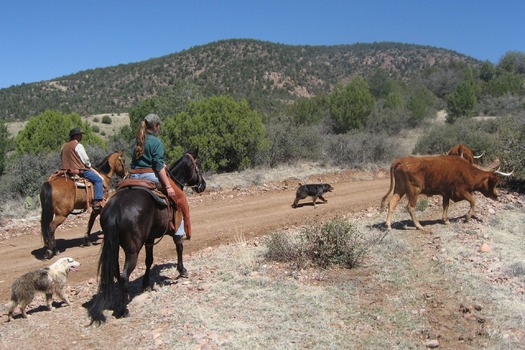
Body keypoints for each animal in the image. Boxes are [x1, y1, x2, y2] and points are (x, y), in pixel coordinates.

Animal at [88, 150, 205, 322]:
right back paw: (123, 309)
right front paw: (182, 270)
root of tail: (115, 208)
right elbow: (179, 246)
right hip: (132, 250)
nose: (203, 185)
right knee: (124, 275)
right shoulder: (176, 230)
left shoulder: (149, 239)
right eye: (198, 166)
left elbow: (149, 260)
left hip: (114, 246)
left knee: (116, 272)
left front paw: (146, 283)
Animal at [378, 155, 510, 231]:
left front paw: (445, 220)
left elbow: (445, 206)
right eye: (494, 182)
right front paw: (467, 217)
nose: (496, 195)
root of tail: (401, 160)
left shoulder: (446, 193)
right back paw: (418, 226)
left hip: (400, 188)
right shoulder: (460, 191)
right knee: (410, 207)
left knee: (392, 203)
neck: (468, 171)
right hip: (413, 190)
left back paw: (388, 225)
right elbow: (473, 201)